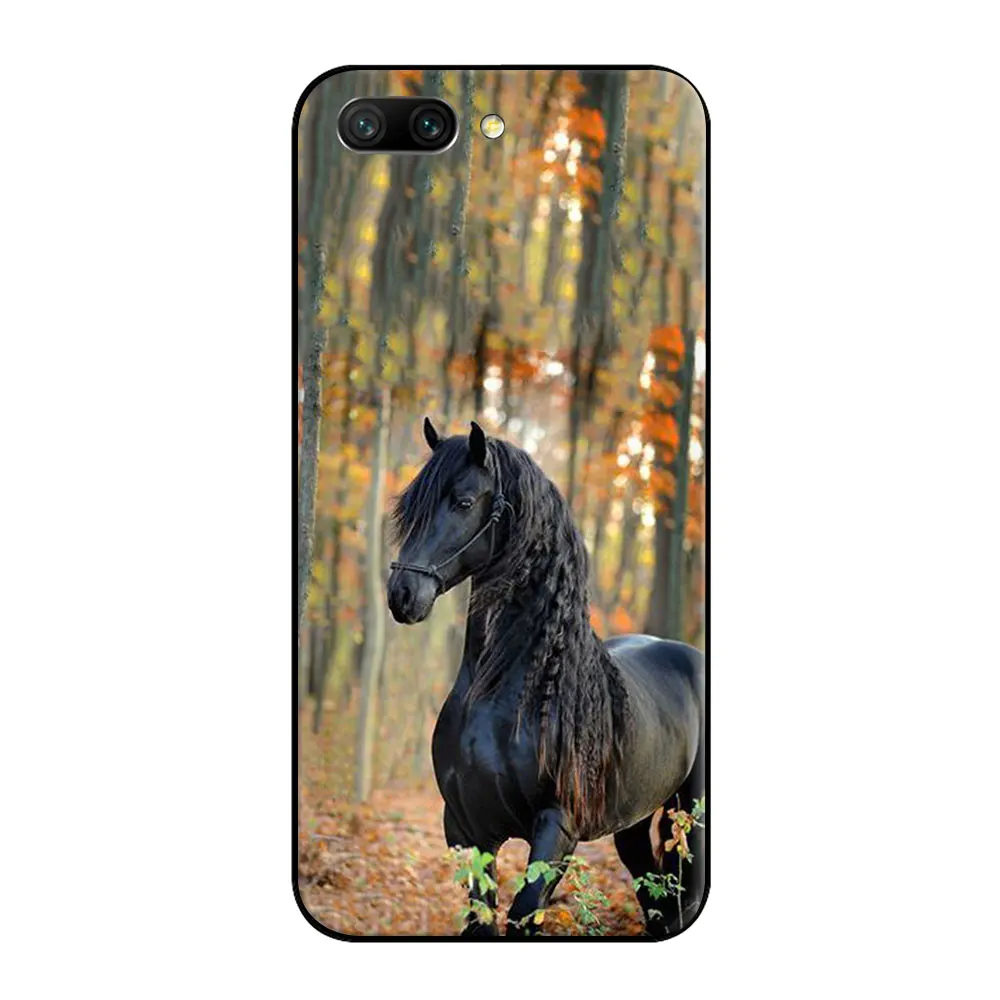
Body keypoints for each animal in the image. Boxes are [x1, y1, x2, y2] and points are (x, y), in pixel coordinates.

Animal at [387, 418, 706, 938]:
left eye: (464, 502)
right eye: (410, 504)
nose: (402, 594)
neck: (505, 693)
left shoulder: (557, 828)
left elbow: (523, 914)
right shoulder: (465, 829)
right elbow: (481, 923)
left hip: (693, 813)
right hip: (632, 824)